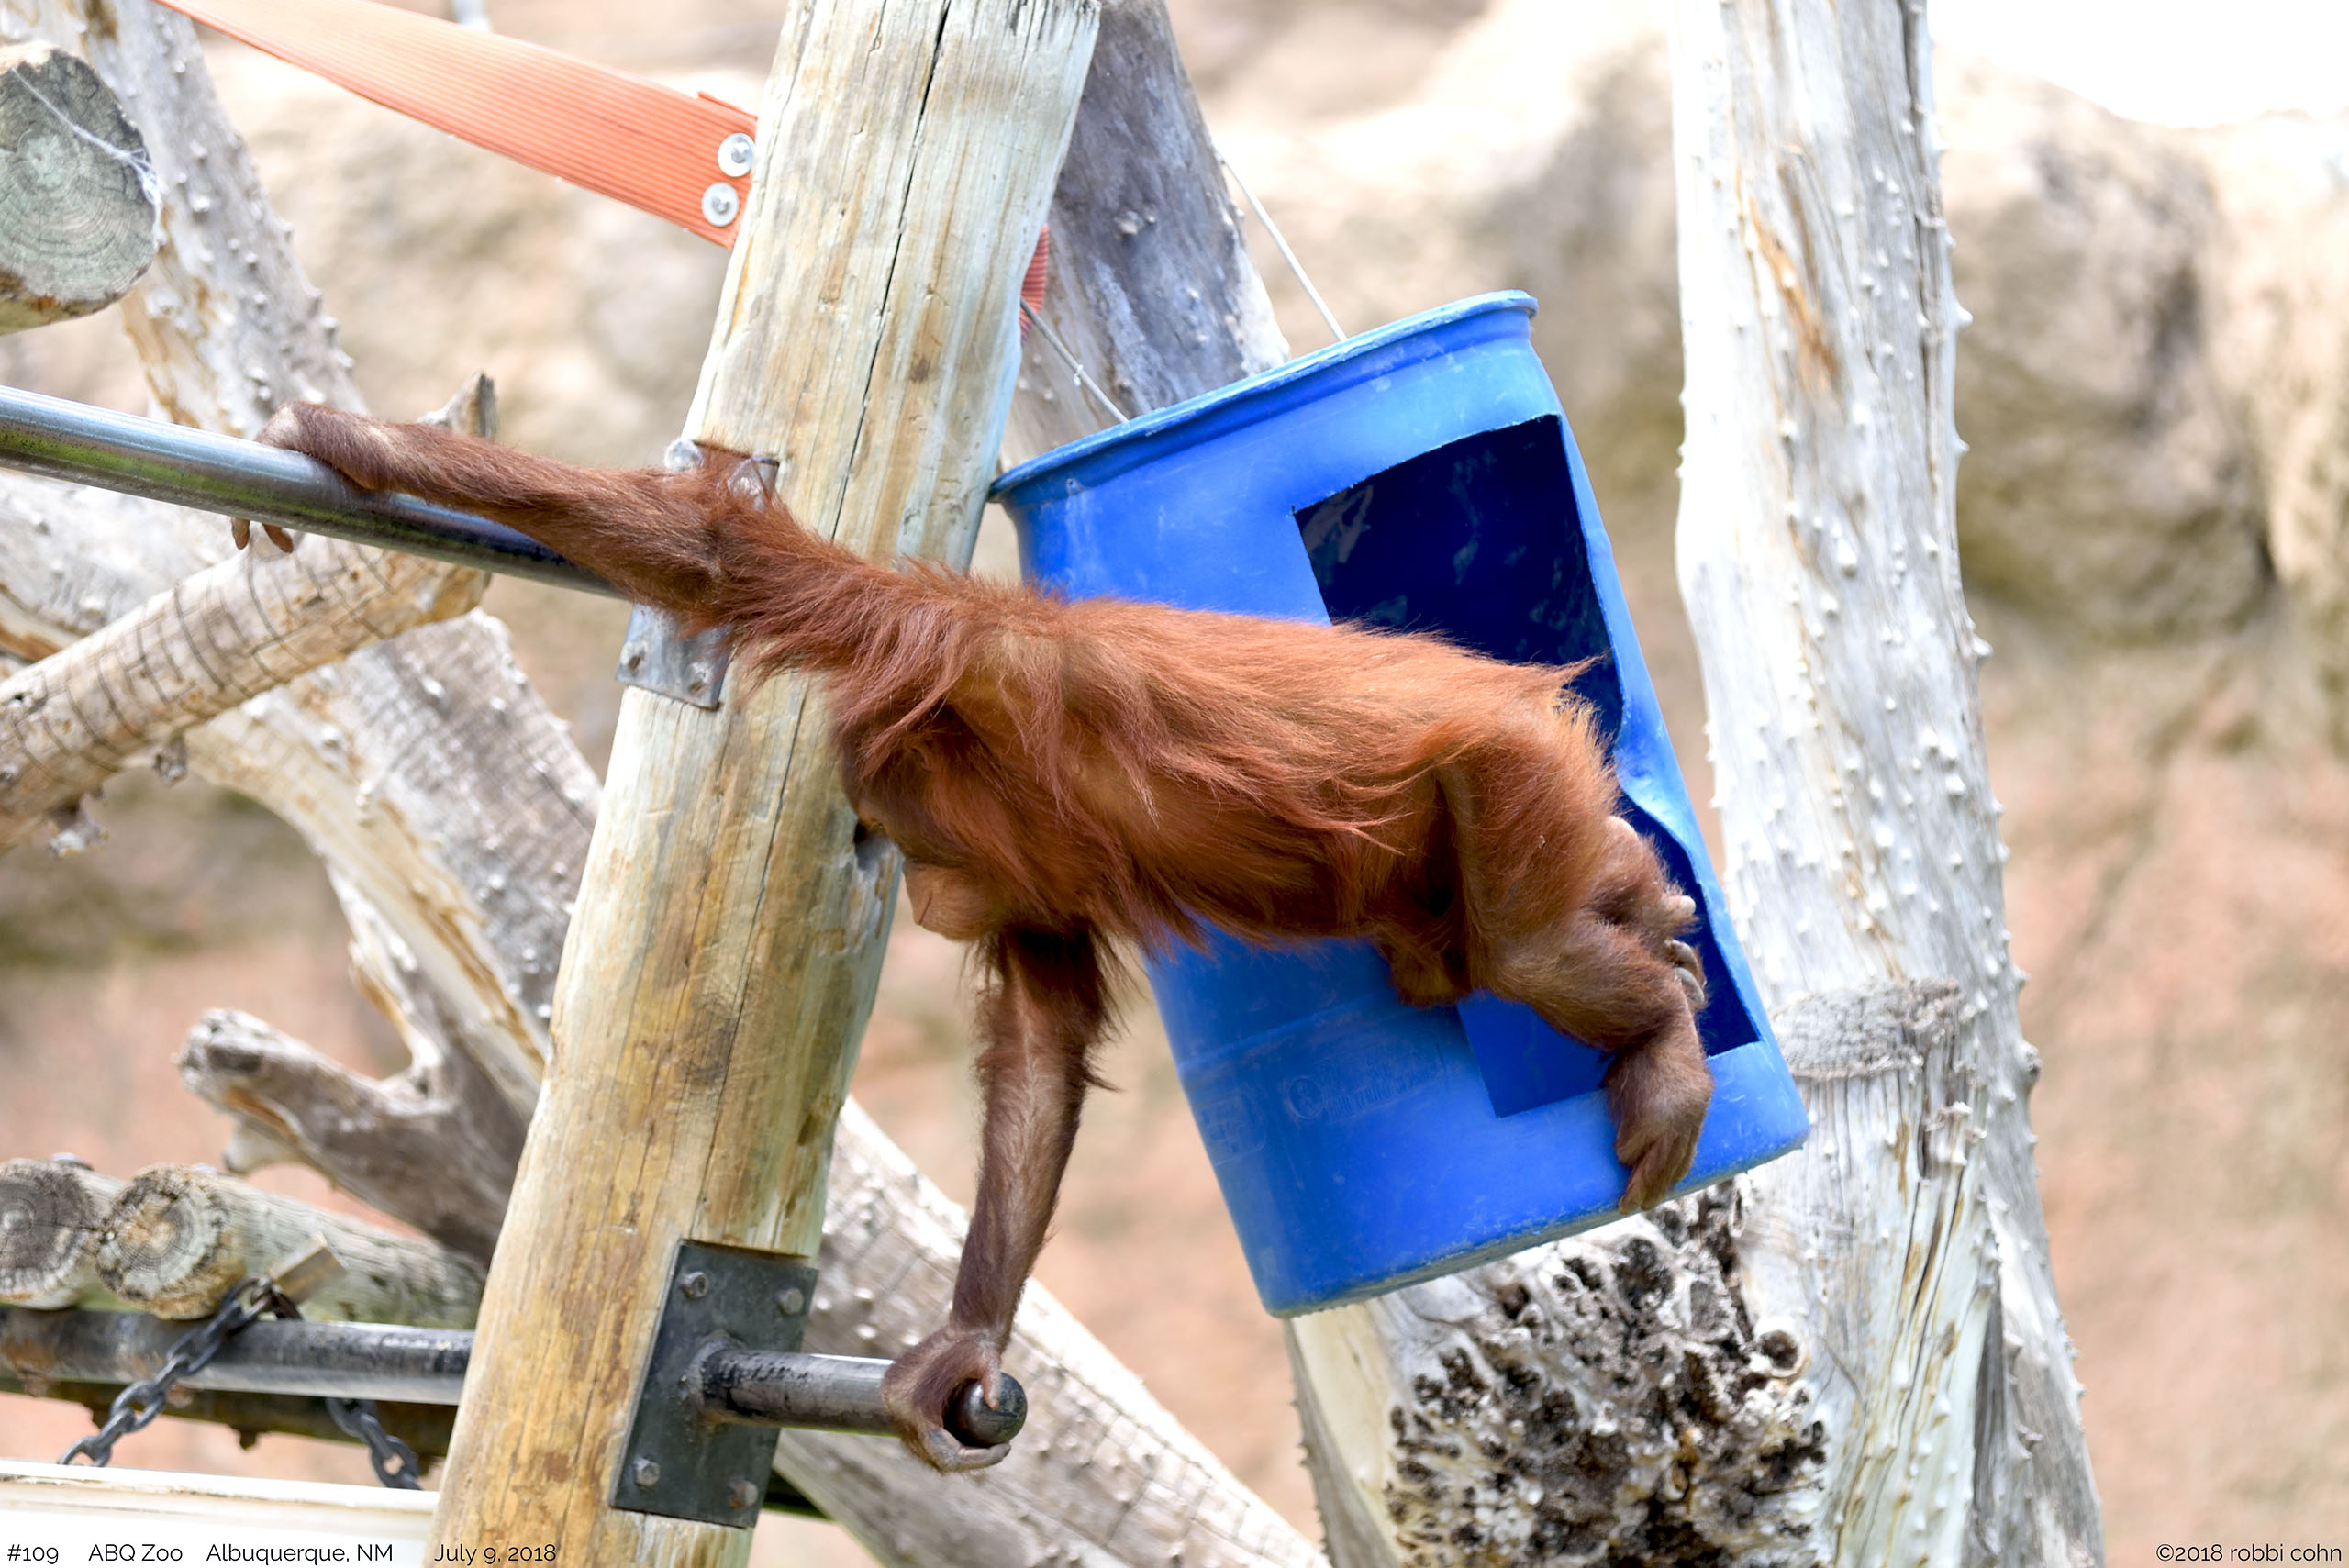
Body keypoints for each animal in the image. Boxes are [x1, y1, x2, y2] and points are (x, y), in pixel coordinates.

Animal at [245, 402, 1715, 1473]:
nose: (928, 896)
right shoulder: (1029, 851)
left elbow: (718, 554)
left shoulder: (965, 649)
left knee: (1522, 949)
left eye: (915, 841)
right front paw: (964, 1340)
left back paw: (1663, 1033)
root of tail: (1536, 699)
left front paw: (353, 442)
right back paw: (1650, 909)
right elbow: (1045, 1053)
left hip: (1511, 764)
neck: (1009, 745)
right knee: (1481, 939)